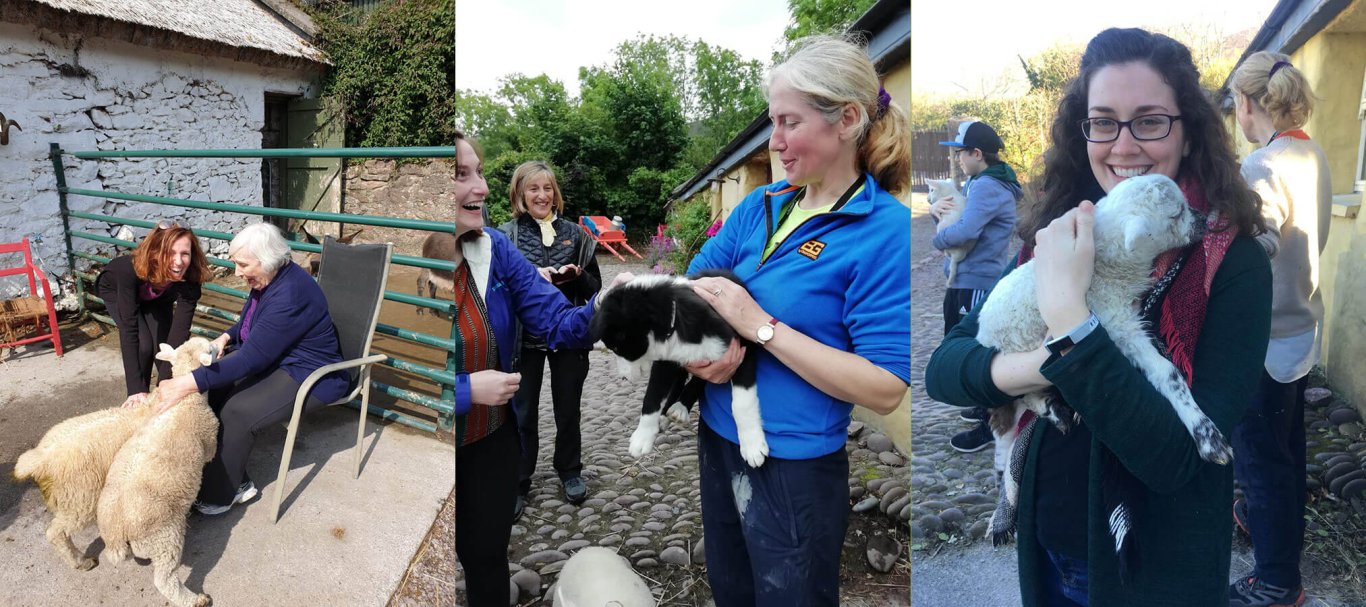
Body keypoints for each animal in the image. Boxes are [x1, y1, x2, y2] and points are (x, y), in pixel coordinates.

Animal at [97, 336, 218, 607]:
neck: (185, 401)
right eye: (211, 350)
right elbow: (211, 453)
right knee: (165, 580)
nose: (219, 343)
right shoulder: (209, 438)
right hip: (164, 538)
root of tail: (116, 531)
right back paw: (196, 599)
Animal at [598, 272, 770, 467]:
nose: (623, 378)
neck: (675, 319)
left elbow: (742, 403)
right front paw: (643, 436)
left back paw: (680, 407)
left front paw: (752, 444)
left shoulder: (742, 350)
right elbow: (652, 396)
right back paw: (669, 413)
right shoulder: (666, 361)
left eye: (617, 348)